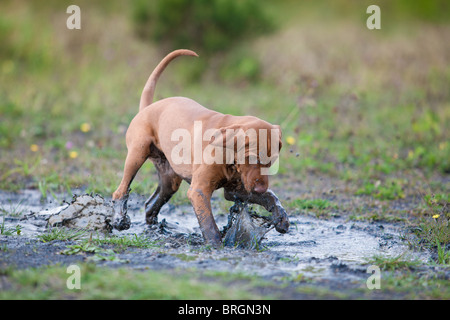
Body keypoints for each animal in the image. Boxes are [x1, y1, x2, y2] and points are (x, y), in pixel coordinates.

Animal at [110, 49, 290, 245]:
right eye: (251, 158)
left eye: (271, 162)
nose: (260, 188)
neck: (228, 154)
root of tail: (148, 107)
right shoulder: (199, 191)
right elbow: (209, 225)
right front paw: (216, 246)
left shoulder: (235, 190)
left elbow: (270, 196)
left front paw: (281, 216)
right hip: (137, 154)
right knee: (120, 191)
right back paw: (120, 220)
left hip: (169, 180)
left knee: (150, 205)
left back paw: (157, 229)